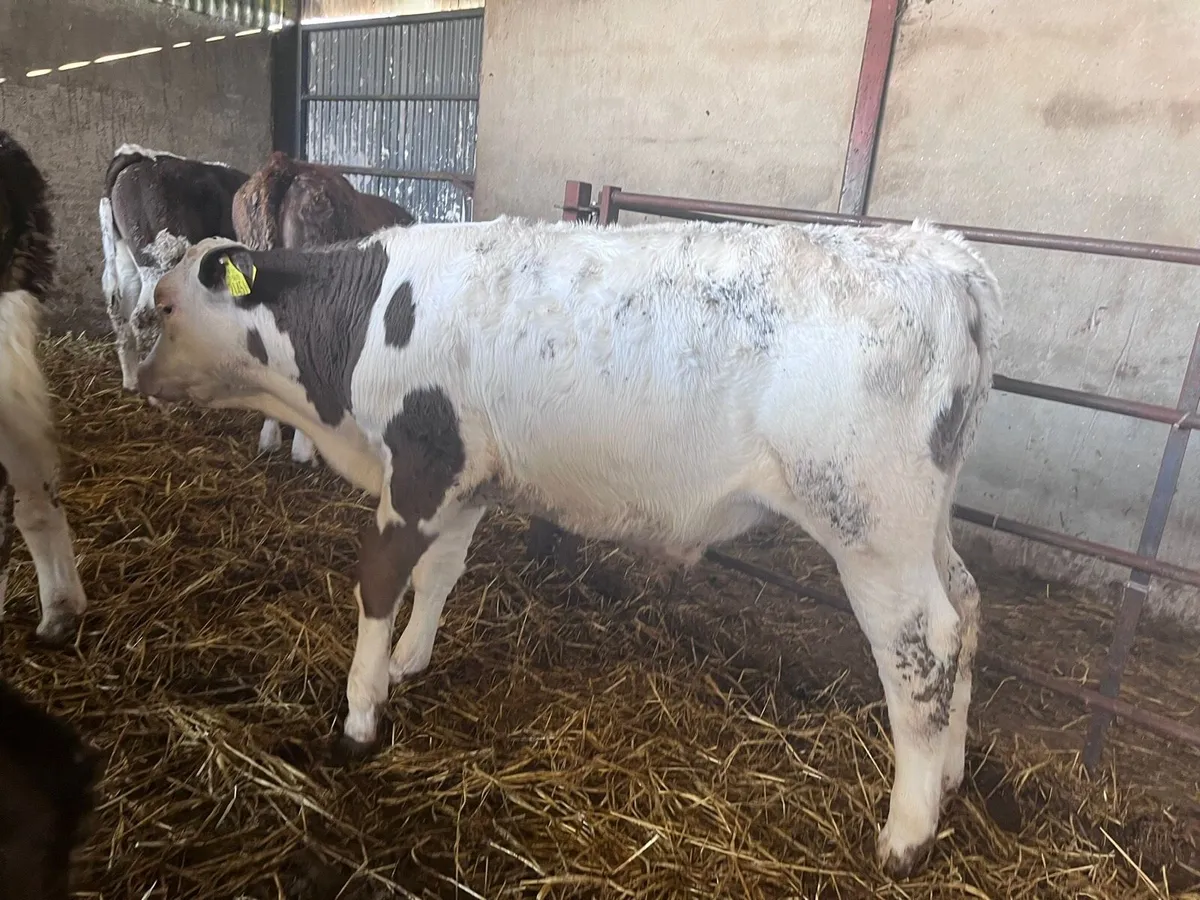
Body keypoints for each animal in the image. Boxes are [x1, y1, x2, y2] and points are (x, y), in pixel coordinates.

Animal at [98, 144, 249, 395]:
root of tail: (138, 154)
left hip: (125, 257)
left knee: (120, 311)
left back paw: (131, 381)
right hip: (161, 258)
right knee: (144, 316)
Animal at [133, 214, 1003, 878]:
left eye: (165, 306)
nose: (136, 380)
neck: (365, 322)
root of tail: (940, 254)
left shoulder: (420, 463)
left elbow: (379, 581)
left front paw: (359, 711)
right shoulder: (468, 478)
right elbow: (441, 573)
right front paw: (411, 658)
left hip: (869, 523)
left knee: (923, 646)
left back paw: (907, 833)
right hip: (925, 520)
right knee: (966, 602)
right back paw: (953, 773)